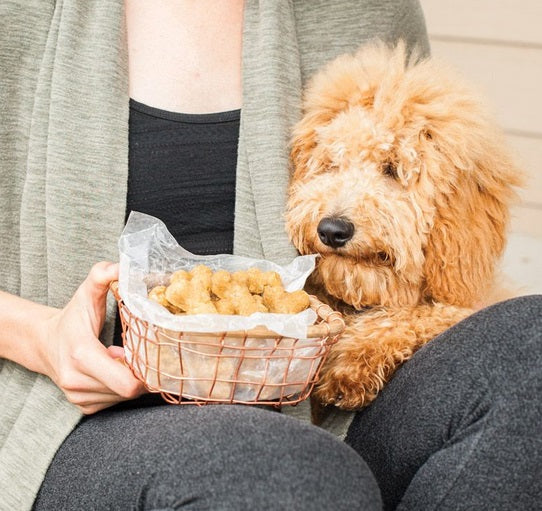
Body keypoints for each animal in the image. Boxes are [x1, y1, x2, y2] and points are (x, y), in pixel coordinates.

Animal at [286, 42, 524, 414]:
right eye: (331, 164)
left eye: (392, 169)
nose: (332, 229)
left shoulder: (465, 302)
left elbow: (421, 316)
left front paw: (353, 359)